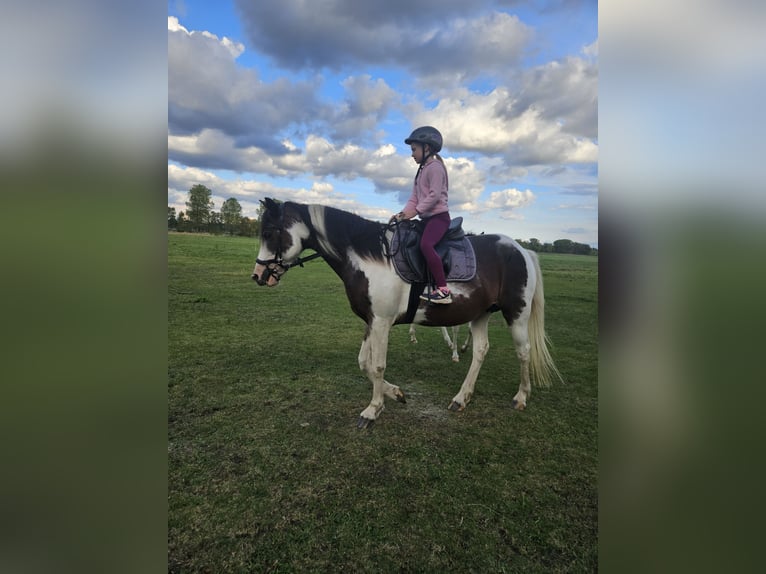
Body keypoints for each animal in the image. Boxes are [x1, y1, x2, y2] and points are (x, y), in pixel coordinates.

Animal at [254, 198, 564, 428]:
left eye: (268, 233)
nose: (258, 276)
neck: (370, 257)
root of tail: (521, 249)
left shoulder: (381, 322)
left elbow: (378, 365)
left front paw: (373, 409)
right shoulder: (372, 321)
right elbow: (363, 363)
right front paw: (395, 393)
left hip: (517, 314)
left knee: (523, 352)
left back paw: (521, 397)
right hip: (480, 314)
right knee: (480, 351)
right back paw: (461, 398)